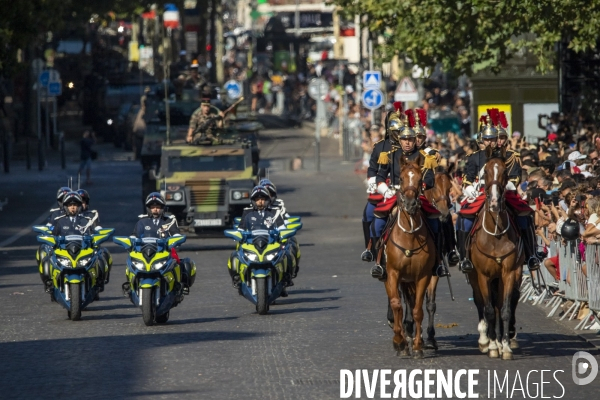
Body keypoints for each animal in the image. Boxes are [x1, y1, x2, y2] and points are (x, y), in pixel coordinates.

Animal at [466, 148, 524, 360]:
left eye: (505, 173)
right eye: (485, 172)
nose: (493, 202)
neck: (496, 234)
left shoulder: (509, 273)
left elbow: (504, 309)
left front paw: (504, 347)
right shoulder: (483, 275)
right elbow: (489, 309)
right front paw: (491, 345)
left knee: (500, 305)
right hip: (475, 276)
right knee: (481, 303)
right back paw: (485, 340)